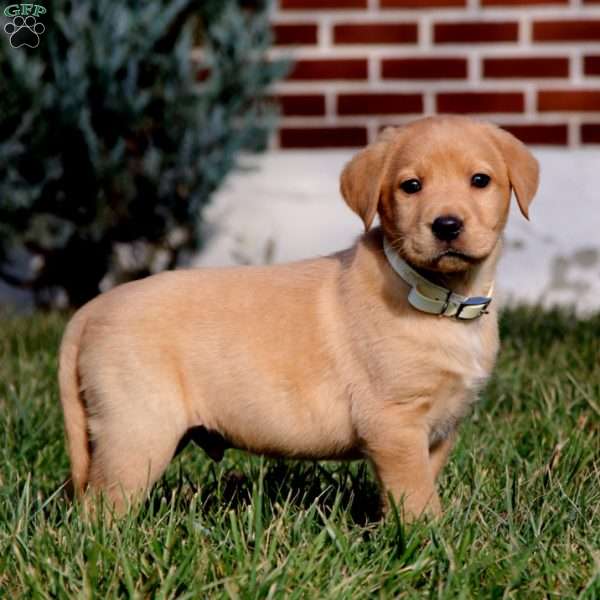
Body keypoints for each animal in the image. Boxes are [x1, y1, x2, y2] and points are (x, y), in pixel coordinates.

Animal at [59, 115, 540, 516]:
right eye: (411, 186)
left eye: (480, 180)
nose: (446, 225)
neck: (438, 297)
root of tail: (91, 310)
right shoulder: (393, 423)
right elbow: (417, 497)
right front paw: (429, 545)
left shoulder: (438, 431)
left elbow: (413, 490)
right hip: (139, 430)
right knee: (100, 509)